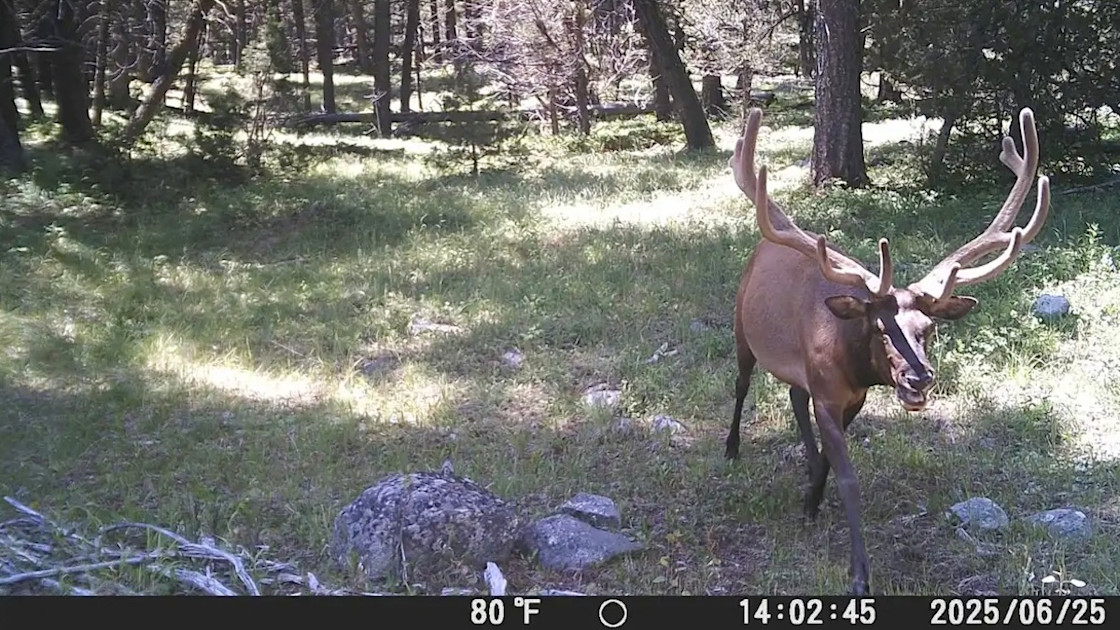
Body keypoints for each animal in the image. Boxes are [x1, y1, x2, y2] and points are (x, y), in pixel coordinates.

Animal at [723, 107, 1051, 596]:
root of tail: (763, 244)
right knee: (742, 384)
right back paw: (731, 447)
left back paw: (804, 462)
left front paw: (810, 500)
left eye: (928, 328)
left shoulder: (849, 397)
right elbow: (847, 477)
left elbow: (827, 457)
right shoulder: (828, 393)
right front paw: (859, 574)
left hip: (796, 370)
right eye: (880, 328)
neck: (850, 363)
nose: (919, 378)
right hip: (742, 331)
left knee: (794, 396)